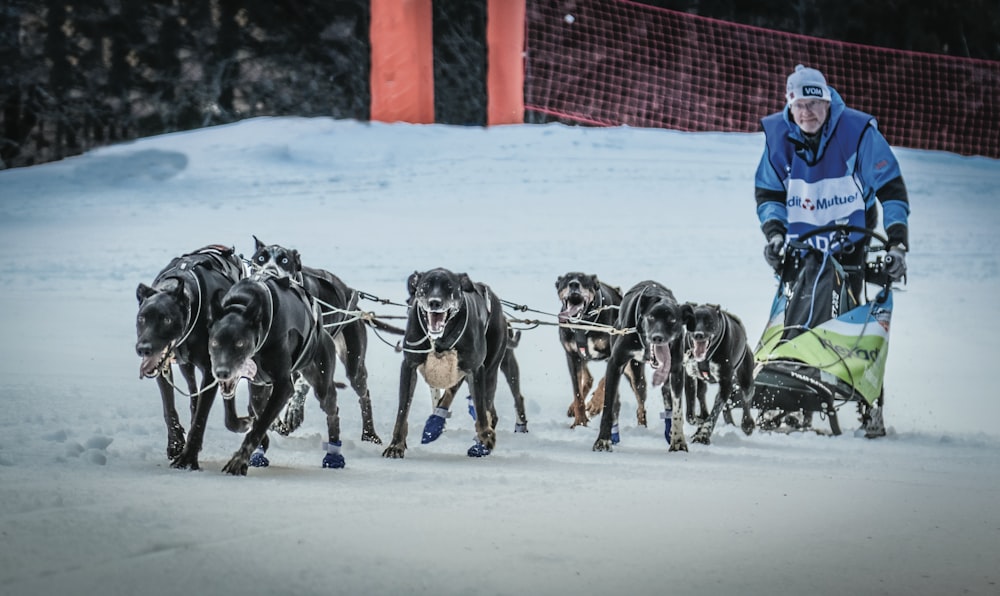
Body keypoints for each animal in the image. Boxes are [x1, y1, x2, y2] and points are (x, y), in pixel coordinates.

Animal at [135, 244, 244, 468]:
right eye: (142, 318)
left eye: (166, 319)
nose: (143, 348)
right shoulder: (163, 367)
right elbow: (169, 407)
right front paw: (176, 444)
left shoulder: (212, 371)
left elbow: (202, 415)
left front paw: (188, 457)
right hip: (186, 365)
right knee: (193, 392)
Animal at [208, 274, 344, 474]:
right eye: (215, 342)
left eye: (240, 343)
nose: (222, 372)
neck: (241, 304)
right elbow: (234, 420)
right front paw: (246, 425)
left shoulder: (283, 386)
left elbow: (260, 425)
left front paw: (239, 461)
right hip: (259, 388)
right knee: (259, 406)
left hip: (320, 378)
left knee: (332, 407)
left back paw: (334, 453)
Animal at [382, 268, 508, 458]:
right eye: (425, 285)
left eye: (449, 286)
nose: (435, 302)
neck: (439, 339)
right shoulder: (409, 365)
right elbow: (402, 411)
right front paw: (396, 445)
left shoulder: (476, 369)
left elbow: (480, 408)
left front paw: (485, 437)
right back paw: (434, 424)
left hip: (489, 369)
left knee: (488, 407)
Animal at [556, 272, 640, 430]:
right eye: (567, 279)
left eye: (584, 279)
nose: (574, 284)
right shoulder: (572, 356)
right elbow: (577, 393)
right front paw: (579, 421)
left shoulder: (614, 356)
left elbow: (604, 381)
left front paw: (595, 403)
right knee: (588, 379)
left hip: (634, 373)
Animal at [592, 280, 688, 452]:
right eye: (651, 317)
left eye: (672, 320)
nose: (657, 337)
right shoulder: (615, 364)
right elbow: (608, 407)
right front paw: (602, 441)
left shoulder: (676, 370)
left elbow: (677, 409)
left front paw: (678, 441)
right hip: (632, 376)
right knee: (617, 402)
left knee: (663, 399)